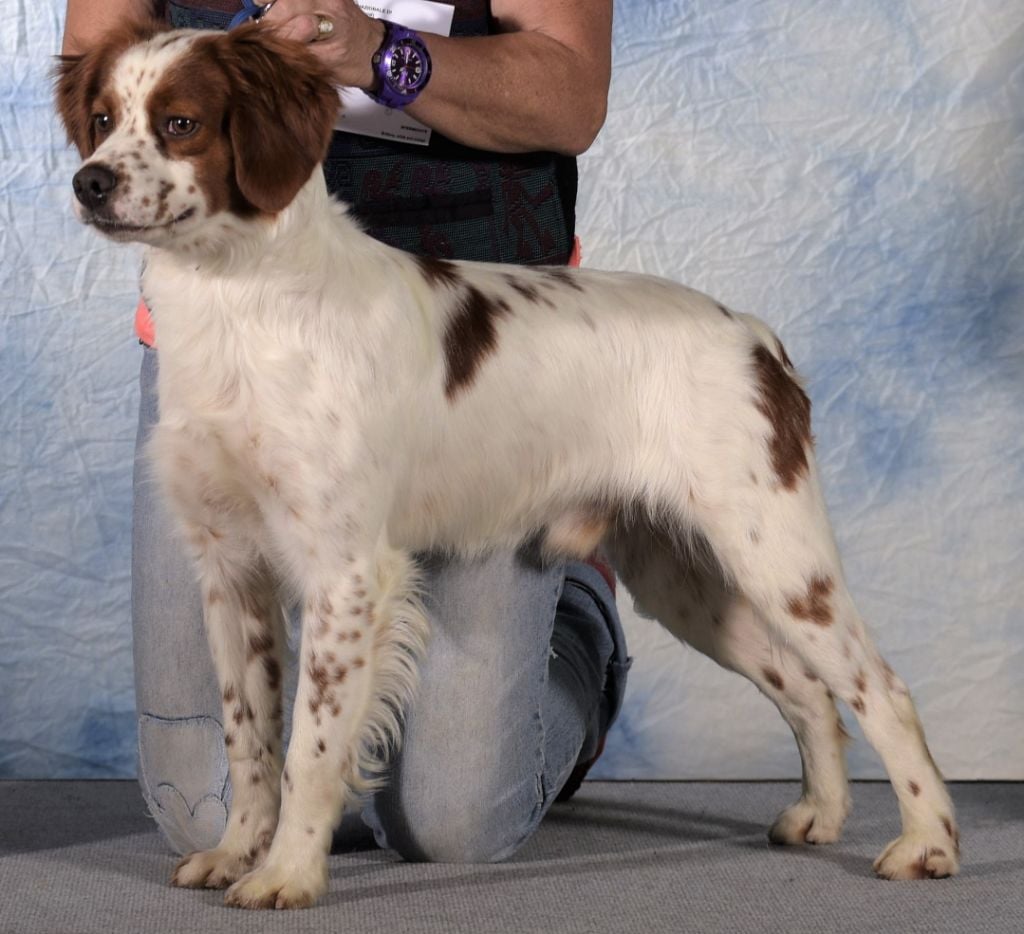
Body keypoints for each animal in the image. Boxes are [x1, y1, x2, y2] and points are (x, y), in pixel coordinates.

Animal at [56, 23, 954, 913]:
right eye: (101, 120)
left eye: (180, 123)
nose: (87, 183)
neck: (240, 299)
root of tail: (756, 337)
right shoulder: (230, 569)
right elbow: (248, 738)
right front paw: (236, 851)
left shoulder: (346, 574)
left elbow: (311, 747)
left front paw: (287, 873)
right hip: (688, 579)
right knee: (808, 690)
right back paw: (821, 814)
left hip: (778, 559)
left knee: (881, 688)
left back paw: (927, 842)